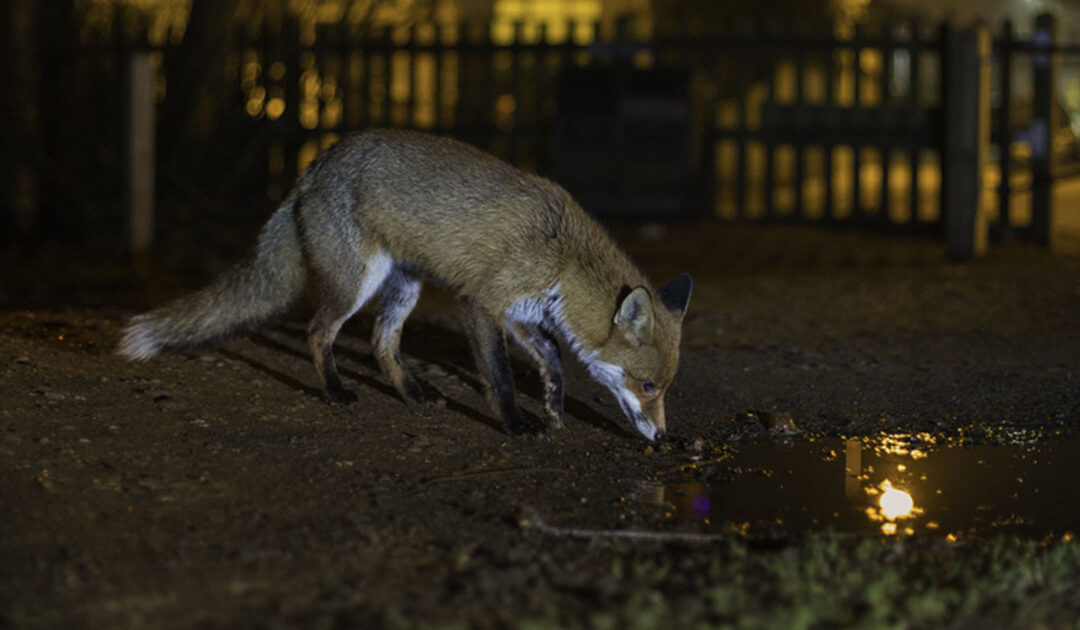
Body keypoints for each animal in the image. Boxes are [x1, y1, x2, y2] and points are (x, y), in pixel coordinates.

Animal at [118, 129, 692, 442]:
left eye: (664, 388)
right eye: (648, 386)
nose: (664, 437)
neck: (564, 259)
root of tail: (312, 168)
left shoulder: (521, 312)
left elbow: (551, 355)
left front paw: (553, 407)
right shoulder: (480, 303)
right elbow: (501, 378)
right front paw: (515, 423)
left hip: (404, 287)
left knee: (380, 341)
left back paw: (413, 393)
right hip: (357, 282)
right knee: (316, 331)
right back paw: (335, 391)